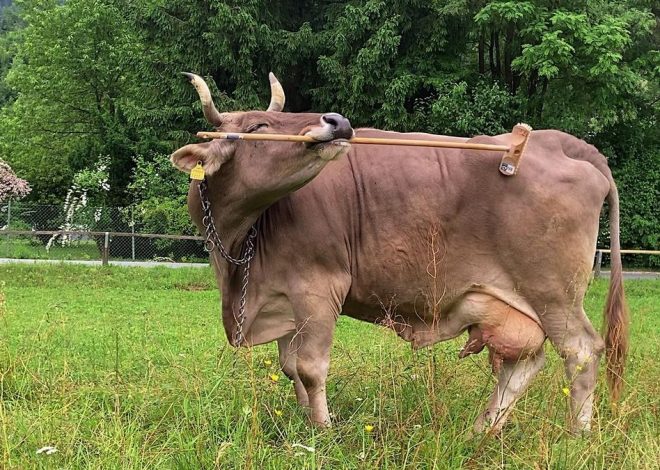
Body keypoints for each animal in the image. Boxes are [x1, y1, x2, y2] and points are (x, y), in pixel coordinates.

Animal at [171, 72, 628, 434]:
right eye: (261, 124)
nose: (337, 121)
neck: (238, 248)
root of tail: (562, 143)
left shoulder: (318, 287)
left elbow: (310, 368)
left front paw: (321, 430)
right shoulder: (282, 297)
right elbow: (289, 366)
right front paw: (301, 419)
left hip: (554, 295)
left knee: (582, 352)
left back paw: (576, 434)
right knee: (527, 363)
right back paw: (482, 429)